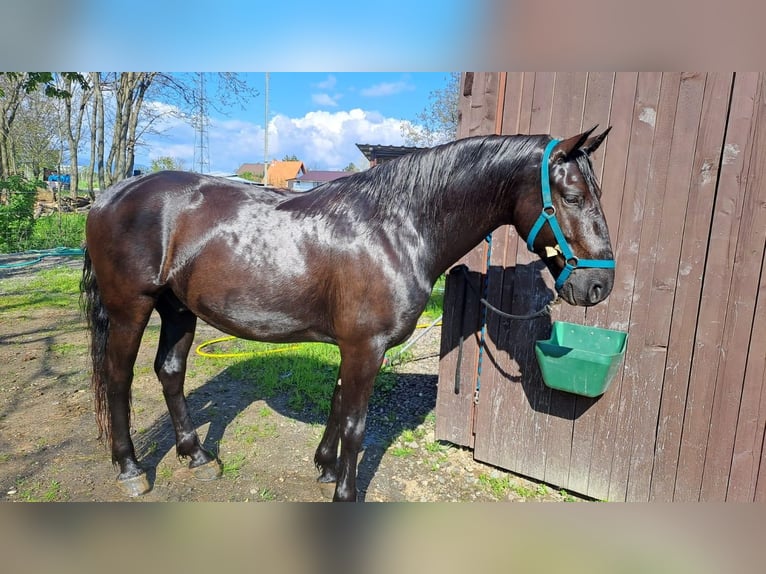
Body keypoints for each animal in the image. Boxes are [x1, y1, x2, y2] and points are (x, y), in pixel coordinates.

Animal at [80, 126, 615, 501]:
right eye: (572, 197)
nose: (598, 284)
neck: (396, 225)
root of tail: (109, 195)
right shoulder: (366, 346)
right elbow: (357, 426)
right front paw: (345, 491)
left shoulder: (352, 346)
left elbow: (338, 405)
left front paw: (325, 465)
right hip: (132, 308)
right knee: (118, 378)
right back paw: (130, 469)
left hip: (177, 309)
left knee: (169, 372)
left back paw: (197, 455)